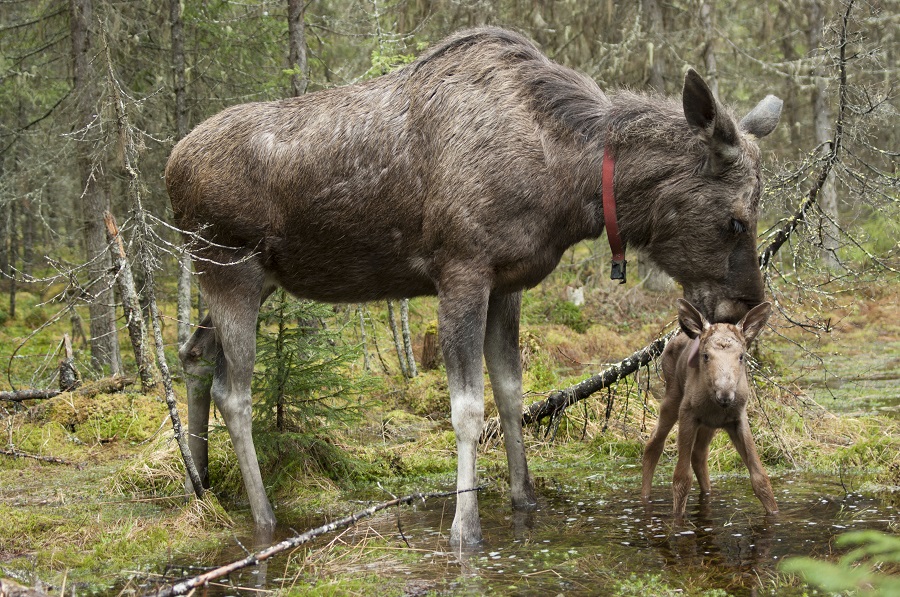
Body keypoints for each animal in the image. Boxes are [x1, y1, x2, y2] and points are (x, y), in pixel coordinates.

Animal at [640, 298, 780, 516]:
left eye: (741, 356)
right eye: (705, 356)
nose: (725, 395)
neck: (717, 406)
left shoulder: (738, 418)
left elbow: (760, 477)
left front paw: (774, 513)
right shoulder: (687, 413)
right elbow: (681, 479)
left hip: (708, 425)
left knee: (699, 454)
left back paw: (707, 493)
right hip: (672, 397)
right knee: (653, 442)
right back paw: (644, 499)